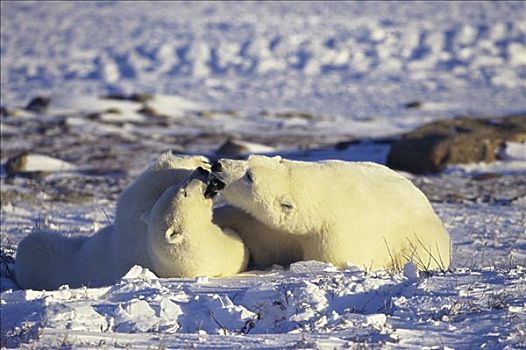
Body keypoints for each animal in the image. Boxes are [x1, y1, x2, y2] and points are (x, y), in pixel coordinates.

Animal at [210, 154, 454, 272]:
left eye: (250, 177)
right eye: (247, 159)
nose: (218, 165)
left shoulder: (335, 234)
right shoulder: (276, 230)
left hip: (418, 243)